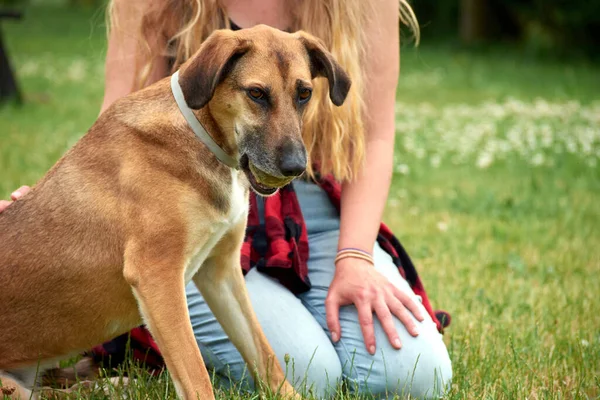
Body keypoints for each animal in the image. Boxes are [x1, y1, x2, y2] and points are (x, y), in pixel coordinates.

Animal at [0, 25, 352, 400]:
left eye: (304, 93)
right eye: (256, 93)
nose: (295, 167)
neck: (202, 138)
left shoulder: (221, 272)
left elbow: (264, 354)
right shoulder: (157, 275)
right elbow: (196, 377)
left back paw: (112, 384)